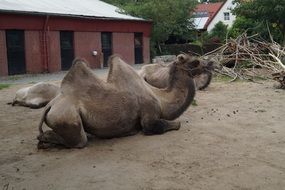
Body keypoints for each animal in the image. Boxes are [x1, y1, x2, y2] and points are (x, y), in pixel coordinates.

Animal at [37, 54, 206, 149]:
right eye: (195, 62)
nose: (209, 65)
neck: (161, 99)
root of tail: (50, 105)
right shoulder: (149, 115)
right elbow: (172, 124)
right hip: (67, 117)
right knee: (80, 141)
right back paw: (44, 140)